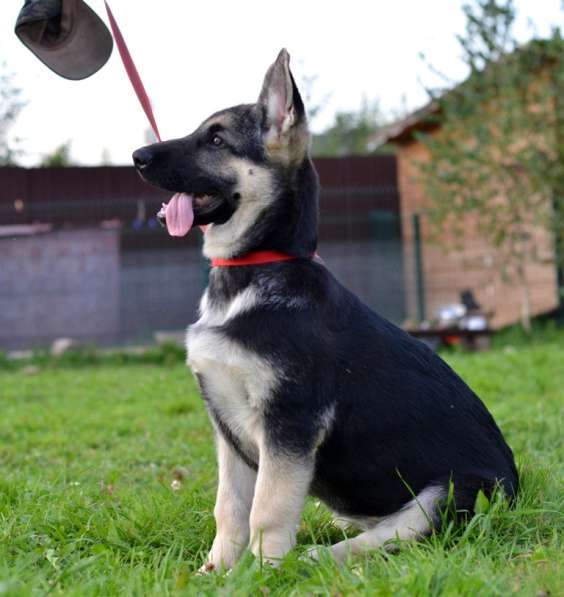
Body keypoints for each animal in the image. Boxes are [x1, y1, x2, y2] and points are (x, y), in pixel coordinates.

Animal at [131, 49, 516, 572]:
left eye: (216, 139)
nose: (137, 157)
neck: (257, 267)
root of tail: (518, 489)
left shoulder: (289, 424)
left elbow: (267, 508)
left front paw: (263, 573)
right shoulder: (228, 432)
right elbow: (229, 509)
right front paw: (214, 572)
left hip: (449, 493)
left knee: (388, 536)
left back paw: (313, 557)